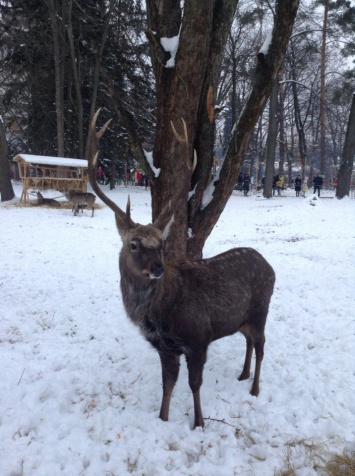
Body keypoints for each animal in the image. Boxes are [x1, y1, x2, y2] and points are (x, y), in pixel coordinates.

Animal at [87, 110, 276, 428]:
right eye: (134, 244)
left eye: (161, 244)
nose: (158, 268)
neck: (161, 314)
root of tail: (270, 266)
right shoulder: (165, 347)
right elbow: (168, 384)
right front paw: (163, 419)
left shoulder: (198, 339)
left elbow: (194, 384)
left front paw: (198, 422)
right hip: (241, 318)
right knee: (249, 340)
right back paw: (243, 374)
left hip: (261, 308)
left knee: (262, 345)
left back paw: (255, 388)